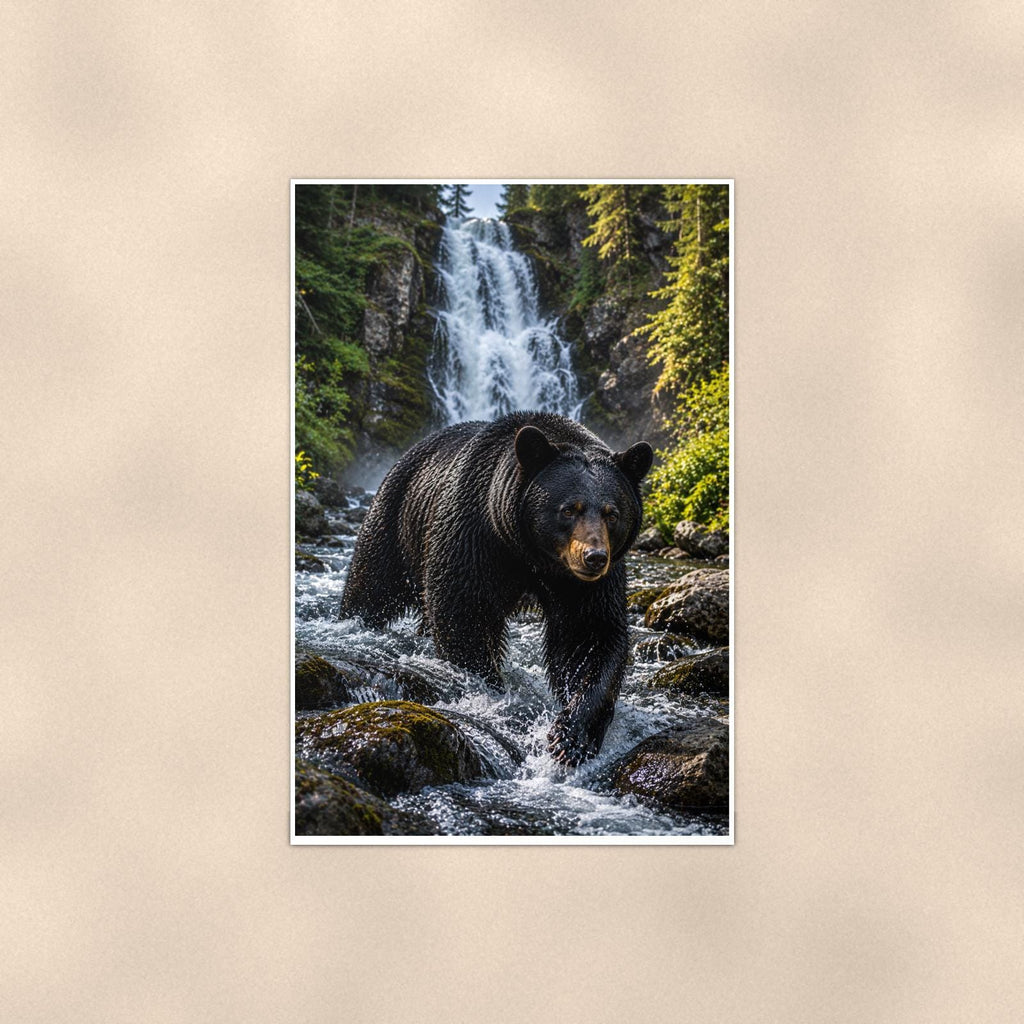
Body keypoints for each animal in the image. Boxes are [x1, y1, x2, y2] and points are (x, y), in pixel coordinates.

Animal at [338, 411, 653, 767]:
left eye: (612, 513)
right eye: (569, 509)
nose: (594, 557)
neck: (532, 555)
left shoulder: (587, 584)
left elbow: (590, 636)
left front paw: (571, 736)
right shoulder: (474, 533)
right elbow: (462, 611)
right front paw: (493, 691)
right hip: (397, 517)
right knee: (371, 583)